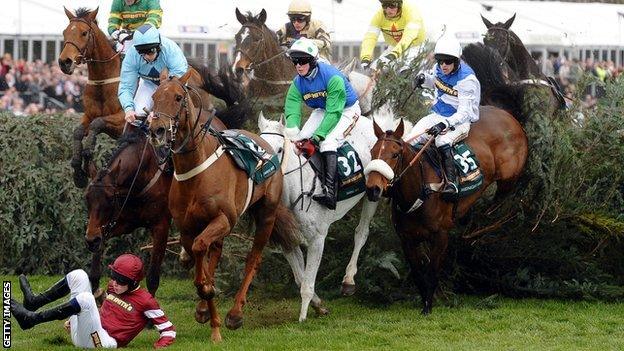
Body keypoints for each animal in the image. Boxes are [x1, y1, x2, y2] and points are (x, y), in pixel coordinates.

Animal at [149, 69, 300, 344]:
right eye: (154, 97)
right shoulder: (187, 227)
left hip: (267, 215)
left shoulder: (224, 219)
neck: (196, 173)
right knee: (215, 253)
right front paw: (207, 306)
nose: (157, 130)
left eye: (178, 97)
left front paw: (214, 309)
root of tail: (264, 141)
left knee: (253, 258)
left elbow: (201, 252)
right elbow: (198, 256)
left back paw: (235, 313)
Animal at [260, 104, 400, 322]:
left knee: (361, 232)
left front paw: (303, 317)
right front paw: (318, 305)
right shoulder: (287, 240)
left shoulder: (317, 239)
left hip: (373, 192)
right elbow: (301, 278)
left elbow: (307, 284)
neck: (294, 191)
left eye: (279, 149)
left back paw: (349, 280)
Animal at [364, 106, 528, 314]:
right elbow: (417, 272)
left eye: (395, 154)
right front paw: (424, 299)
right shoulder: (407, 239)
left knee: (502, 202)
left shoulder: (441, 236)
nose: (373, 189)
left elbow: (432, 271)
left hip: (508, 179)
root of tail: (509, 116)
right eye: (372, 152)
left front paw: (428, 305)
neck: (421, 190)